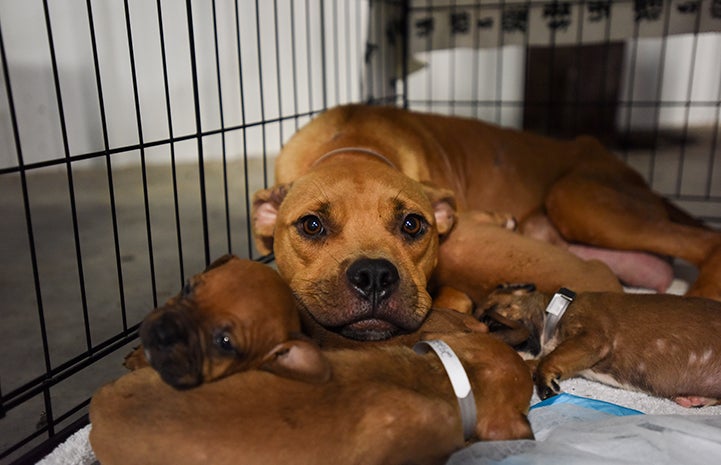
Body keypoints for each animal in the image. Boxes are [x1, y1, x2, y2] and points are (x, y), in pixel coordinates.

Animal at [252, 106, 720, 344]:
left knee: (707, 239)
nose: (373, 277)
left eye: (412, 225)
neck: (355, 146)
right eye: (312, 226)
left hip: (580, 199)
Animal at [476, 284, 720, 408]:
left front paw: (545, 383)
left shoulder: (592, 339)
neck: (556, 310)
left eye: (489, 319)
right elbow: (539, 361)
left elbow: (549, 359)